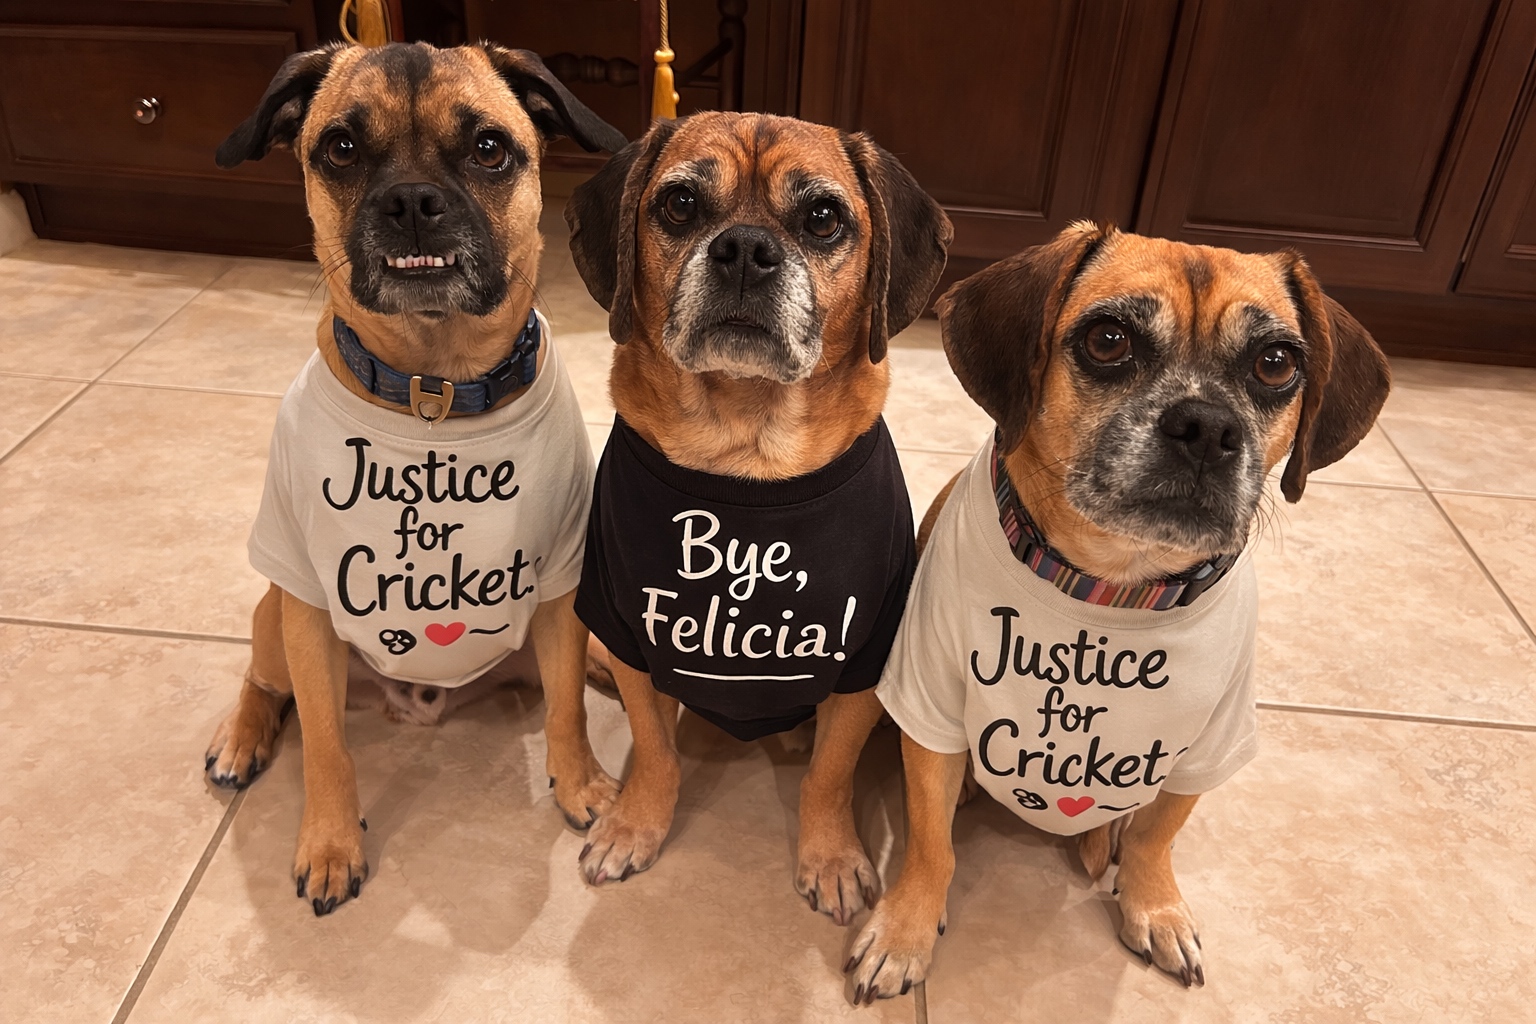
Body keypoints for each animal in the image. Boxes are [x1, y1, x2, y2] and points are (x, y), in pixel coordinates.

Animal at [201, 41, 628, 916]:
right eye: (339, 148)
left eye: (490, 148)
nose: (410, 202)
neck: (434, 389)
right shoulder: (306, 608)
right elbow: (326, 746)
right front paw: (330, 843)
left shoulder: (561, 591)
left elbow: (568, 708)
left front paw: (579, 785)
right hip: (273, 617)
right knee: (264, 683)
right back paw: (240, 738)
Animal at [564, 112, 952, 919]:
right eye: (679, 204)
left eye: (823, 218)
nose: (744, 248)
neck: (745, 446)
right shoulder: (628, 633)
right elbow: (655, 749)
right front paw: (636, 826)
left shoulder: (861, 663)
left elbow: (831, 775)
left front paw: (830, 855)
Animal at [845, 222, 1390, 999]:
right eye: (1108, 340)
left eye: (1275, 362)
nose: (1206, 426)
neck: (1111, 586)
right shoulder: (929, 710)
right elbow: (930, 843)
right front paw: (905, 932)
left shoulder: (1207, 747)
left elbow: (1160, 834)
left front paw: (1154, 906)